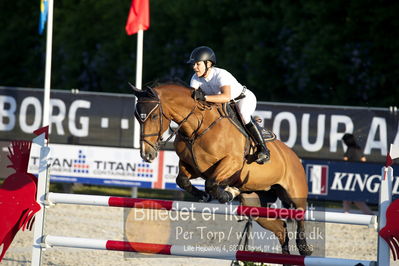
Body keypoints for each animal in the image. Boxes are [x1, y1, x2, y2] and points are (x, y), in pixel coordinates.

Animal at [130, 82, 312, 258]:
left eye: (154, 116)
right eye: (137, 118)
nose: (147, 154)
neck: (197, 126)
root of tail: (293, 155)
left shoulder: (231, 163)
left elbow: (211, 184)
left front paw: (227, 193)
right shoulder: (193, 167)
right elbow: (182, 180)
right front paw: (206, 195)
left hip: (294, 191)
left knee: (299, 213)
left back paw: (304, 248)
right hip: (256, 204)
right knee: (281, 228)